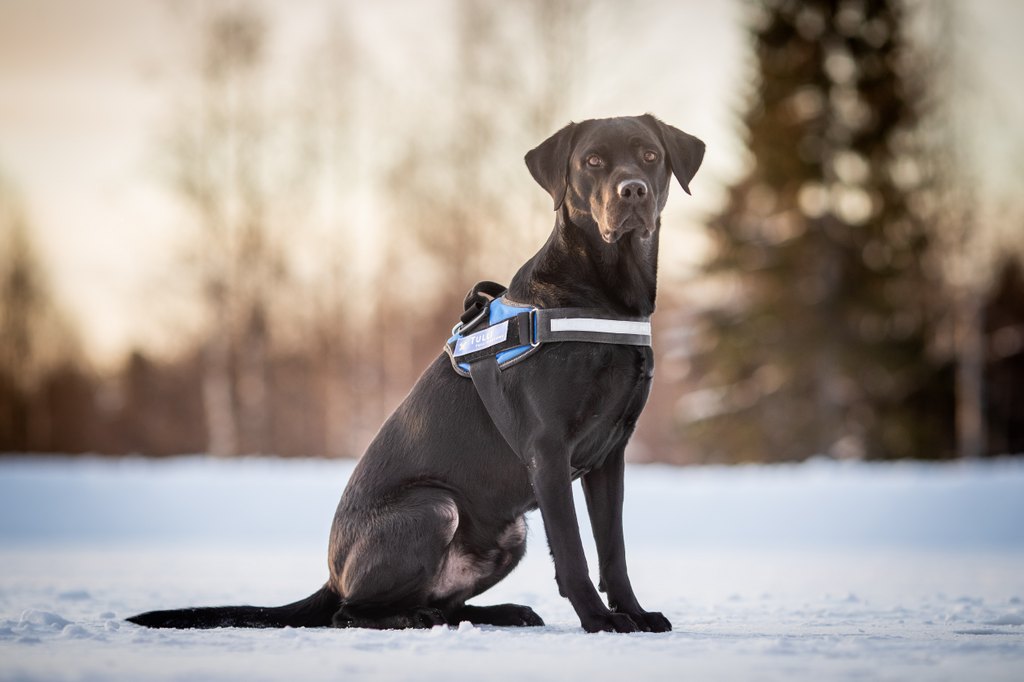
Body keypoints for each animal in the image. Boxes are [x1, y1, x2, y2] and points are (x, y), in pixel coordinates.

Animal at [128, 112, 704, 630]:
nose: (632, 192)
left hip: (509, 533)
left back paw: (497, 612)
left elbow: (613, 550)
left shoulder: (610, 453)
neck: (604, 296)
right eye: (592, 162)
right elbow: (574, 551)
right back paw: (413, 618)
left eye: (649, 156)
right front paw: (600, 620)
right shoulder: (548, 449)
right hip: (434, 506)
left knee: (440, 603)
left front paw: (634, 613)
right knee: (349, 613)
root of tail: (332, 576)